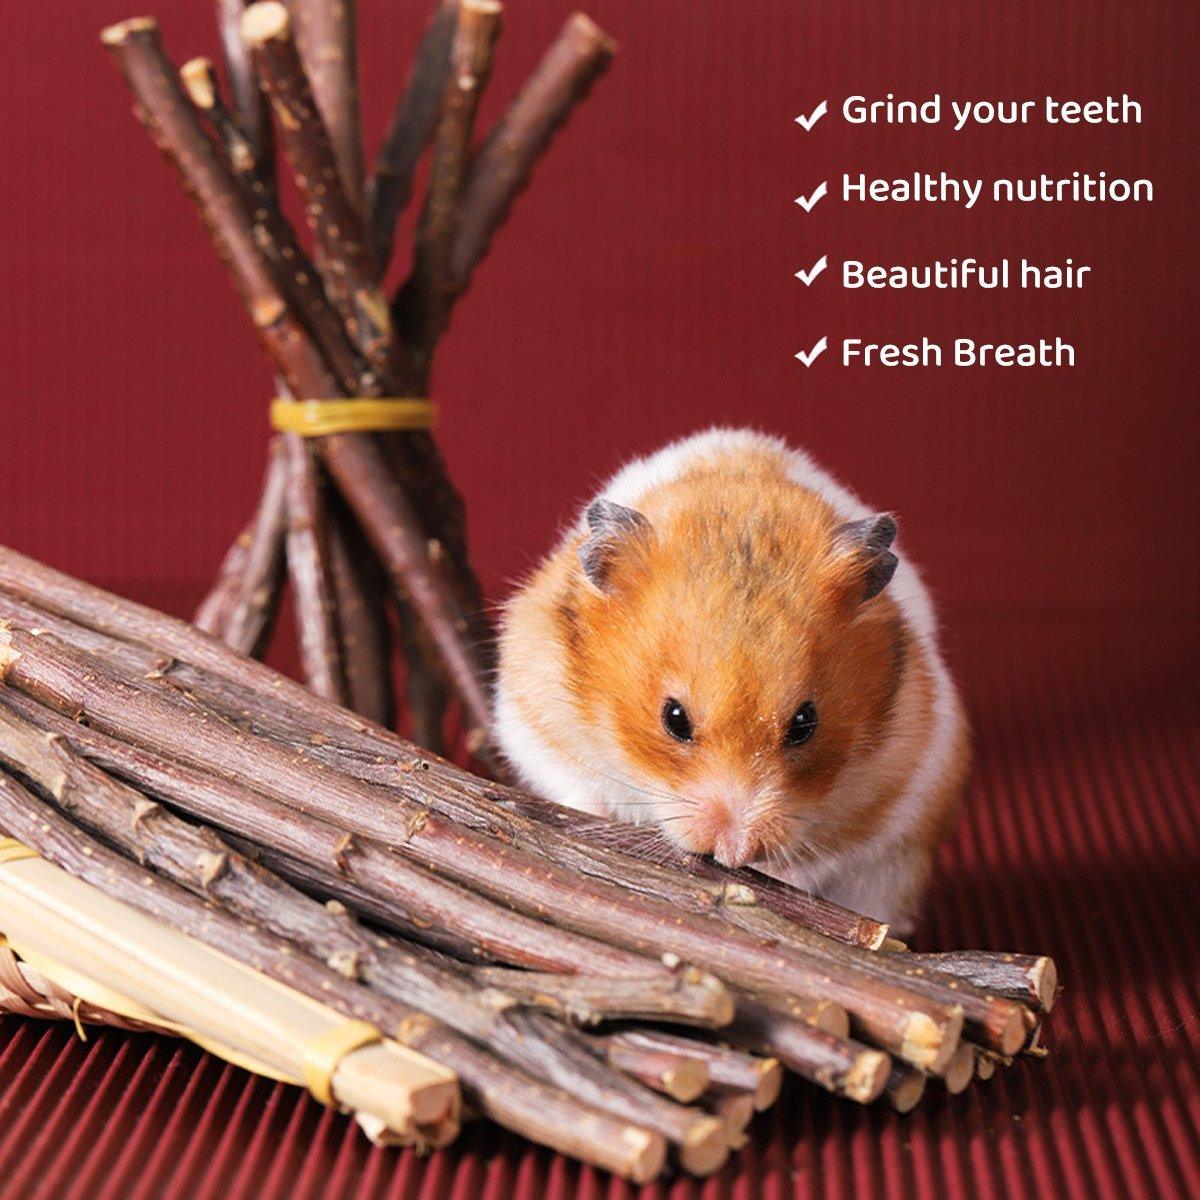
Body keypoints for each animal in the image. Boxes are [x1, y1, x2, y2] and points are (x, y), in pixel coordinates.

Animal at [495, 429, 970, 932]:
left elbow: (825, 854)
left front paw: (776, 872)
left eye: (805, 723)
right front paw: (597, 816)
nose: (732, 851)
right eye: (674, 719)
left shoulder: (900, 778)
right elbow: (573, 782)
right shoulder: (530, 710)